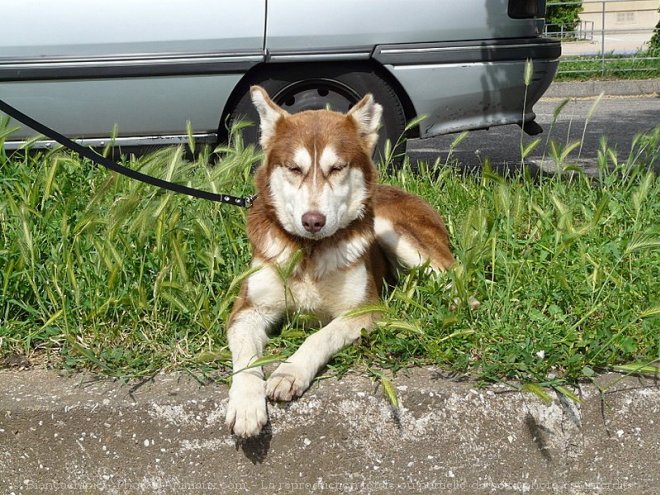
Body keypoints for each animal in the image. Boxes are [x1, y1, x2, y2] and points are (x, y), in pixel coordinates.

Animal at [226, 86, 454, 438]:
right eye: (294, 168)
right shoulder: (248, 309)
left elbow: (321, 335)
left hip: (391, 230)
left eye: (337, 168)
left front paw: (289, 371)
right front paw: (246, 404)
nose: (313, 221)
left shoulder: (362, 310)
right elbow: (247, 357)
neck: (309, 251)